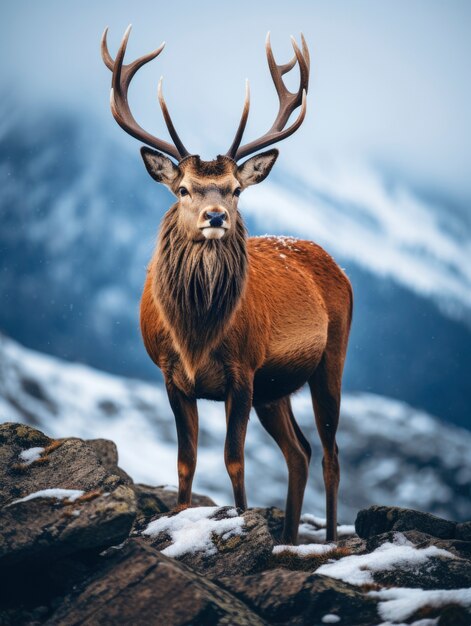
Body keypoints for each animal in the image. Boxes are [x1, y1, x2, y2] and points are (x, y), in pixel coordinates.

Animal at [103, 24, 354, 540]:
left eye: (237, 189)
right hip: (275, 388)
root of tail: (334, 264)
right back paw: (287, 540)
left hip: (329, 359)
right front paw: (180, 516)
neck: (196, 334)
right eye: (183, 189)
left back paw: (330, 539)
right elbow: (186, 461)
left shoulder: (243, 371)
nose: (216, 216)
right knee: (299, 451)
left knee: (331, 453)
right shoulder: (171, 375)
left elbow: (234, 460)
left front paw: (238, 519)